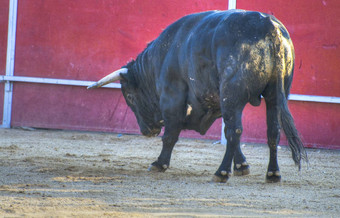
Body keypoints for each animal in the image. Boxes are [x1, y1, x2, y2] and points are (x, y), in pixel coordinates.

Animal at [88, 9, 308, 182]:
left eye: (130, 97)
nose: (147, 131)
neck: (160, 58)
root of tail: (269, 27)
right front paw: (242, 166)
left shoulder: (172, 98)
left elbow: (171, 133)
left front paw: (159, 163)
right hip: (275, 95)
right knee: (272, 131)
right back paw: (273, 174)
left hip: (232, 95)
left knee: (235, 131)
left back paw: (221, 173)